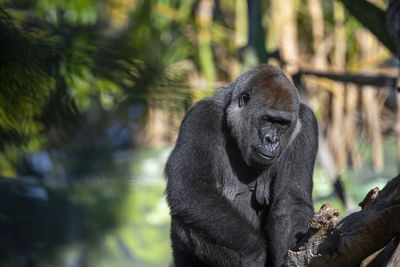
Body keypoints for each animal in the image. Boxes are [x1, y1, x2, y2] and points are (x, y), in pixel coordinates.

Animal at [164, 65, 318, 267]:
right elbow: (190, 188)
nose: (272, 141)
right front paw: (254, 250)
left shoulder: (306, 122)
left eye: (282, 124)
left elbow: (290, 203)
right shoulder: (201, 115)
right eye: (267, 119)